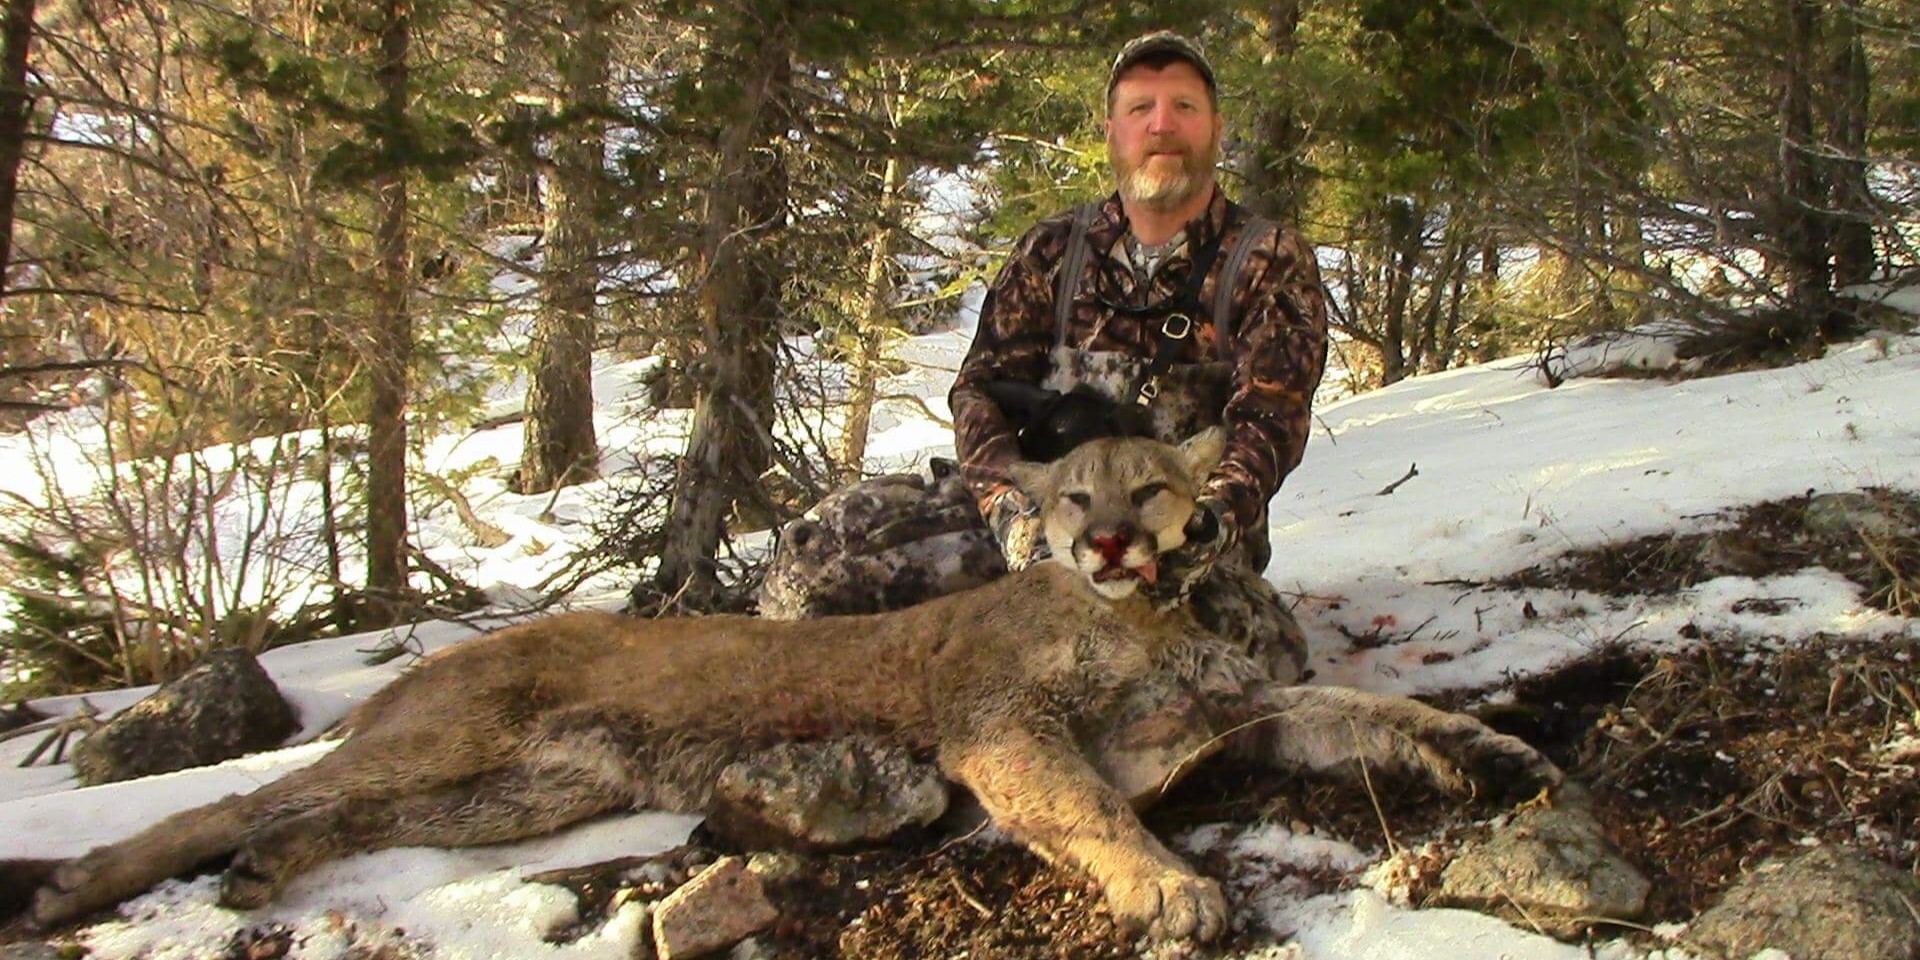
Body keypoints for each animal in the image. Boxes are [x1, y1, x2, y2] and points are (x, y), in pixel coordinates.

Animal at [19, 431, 1562, 943]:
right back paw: (76, 883)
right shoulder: (1003, 723)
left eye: (1155, 488)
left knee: (320, 819)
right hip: (451, 743)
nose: (1114, 541)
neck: (1144, 623)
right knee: (238, 803)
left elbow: (1379, 714)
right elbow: (1093, 808)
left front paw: (1493, 752)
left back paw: (257, 874)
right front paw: (1170, 887)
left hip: (520, 790)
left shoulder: (1244, 710)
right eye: (1076, 495)